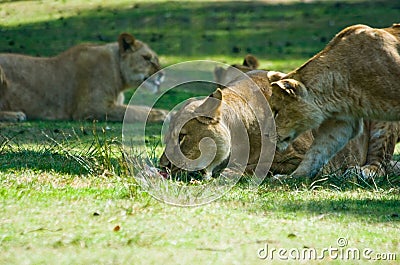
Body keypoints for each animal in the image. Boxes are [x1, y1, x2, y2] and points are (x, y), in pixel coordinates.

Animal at [0, 32, 167, 121]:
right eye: (147, 58)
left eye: (157, 60)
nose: (162, 75)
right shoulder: (91, 108)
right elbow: (133, 111)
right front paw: (161, 115)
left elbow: (139, 107)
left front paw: (162, 111)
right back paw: (16, 115)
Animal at [159, 69, 400, 179]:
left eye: (182, 136)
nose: (163, 167)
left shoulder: (310, 161)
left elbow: (260, 166)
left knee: (381, 164)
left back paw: (360, 171)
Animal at [270, 23, 400, 178]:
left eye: (276, 112)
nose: (268, 136)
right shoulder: (342, 122)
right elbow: (316, 152)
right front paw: (291, 177)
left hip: (383, 125)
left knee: (380, 165)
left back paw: (364, 171)